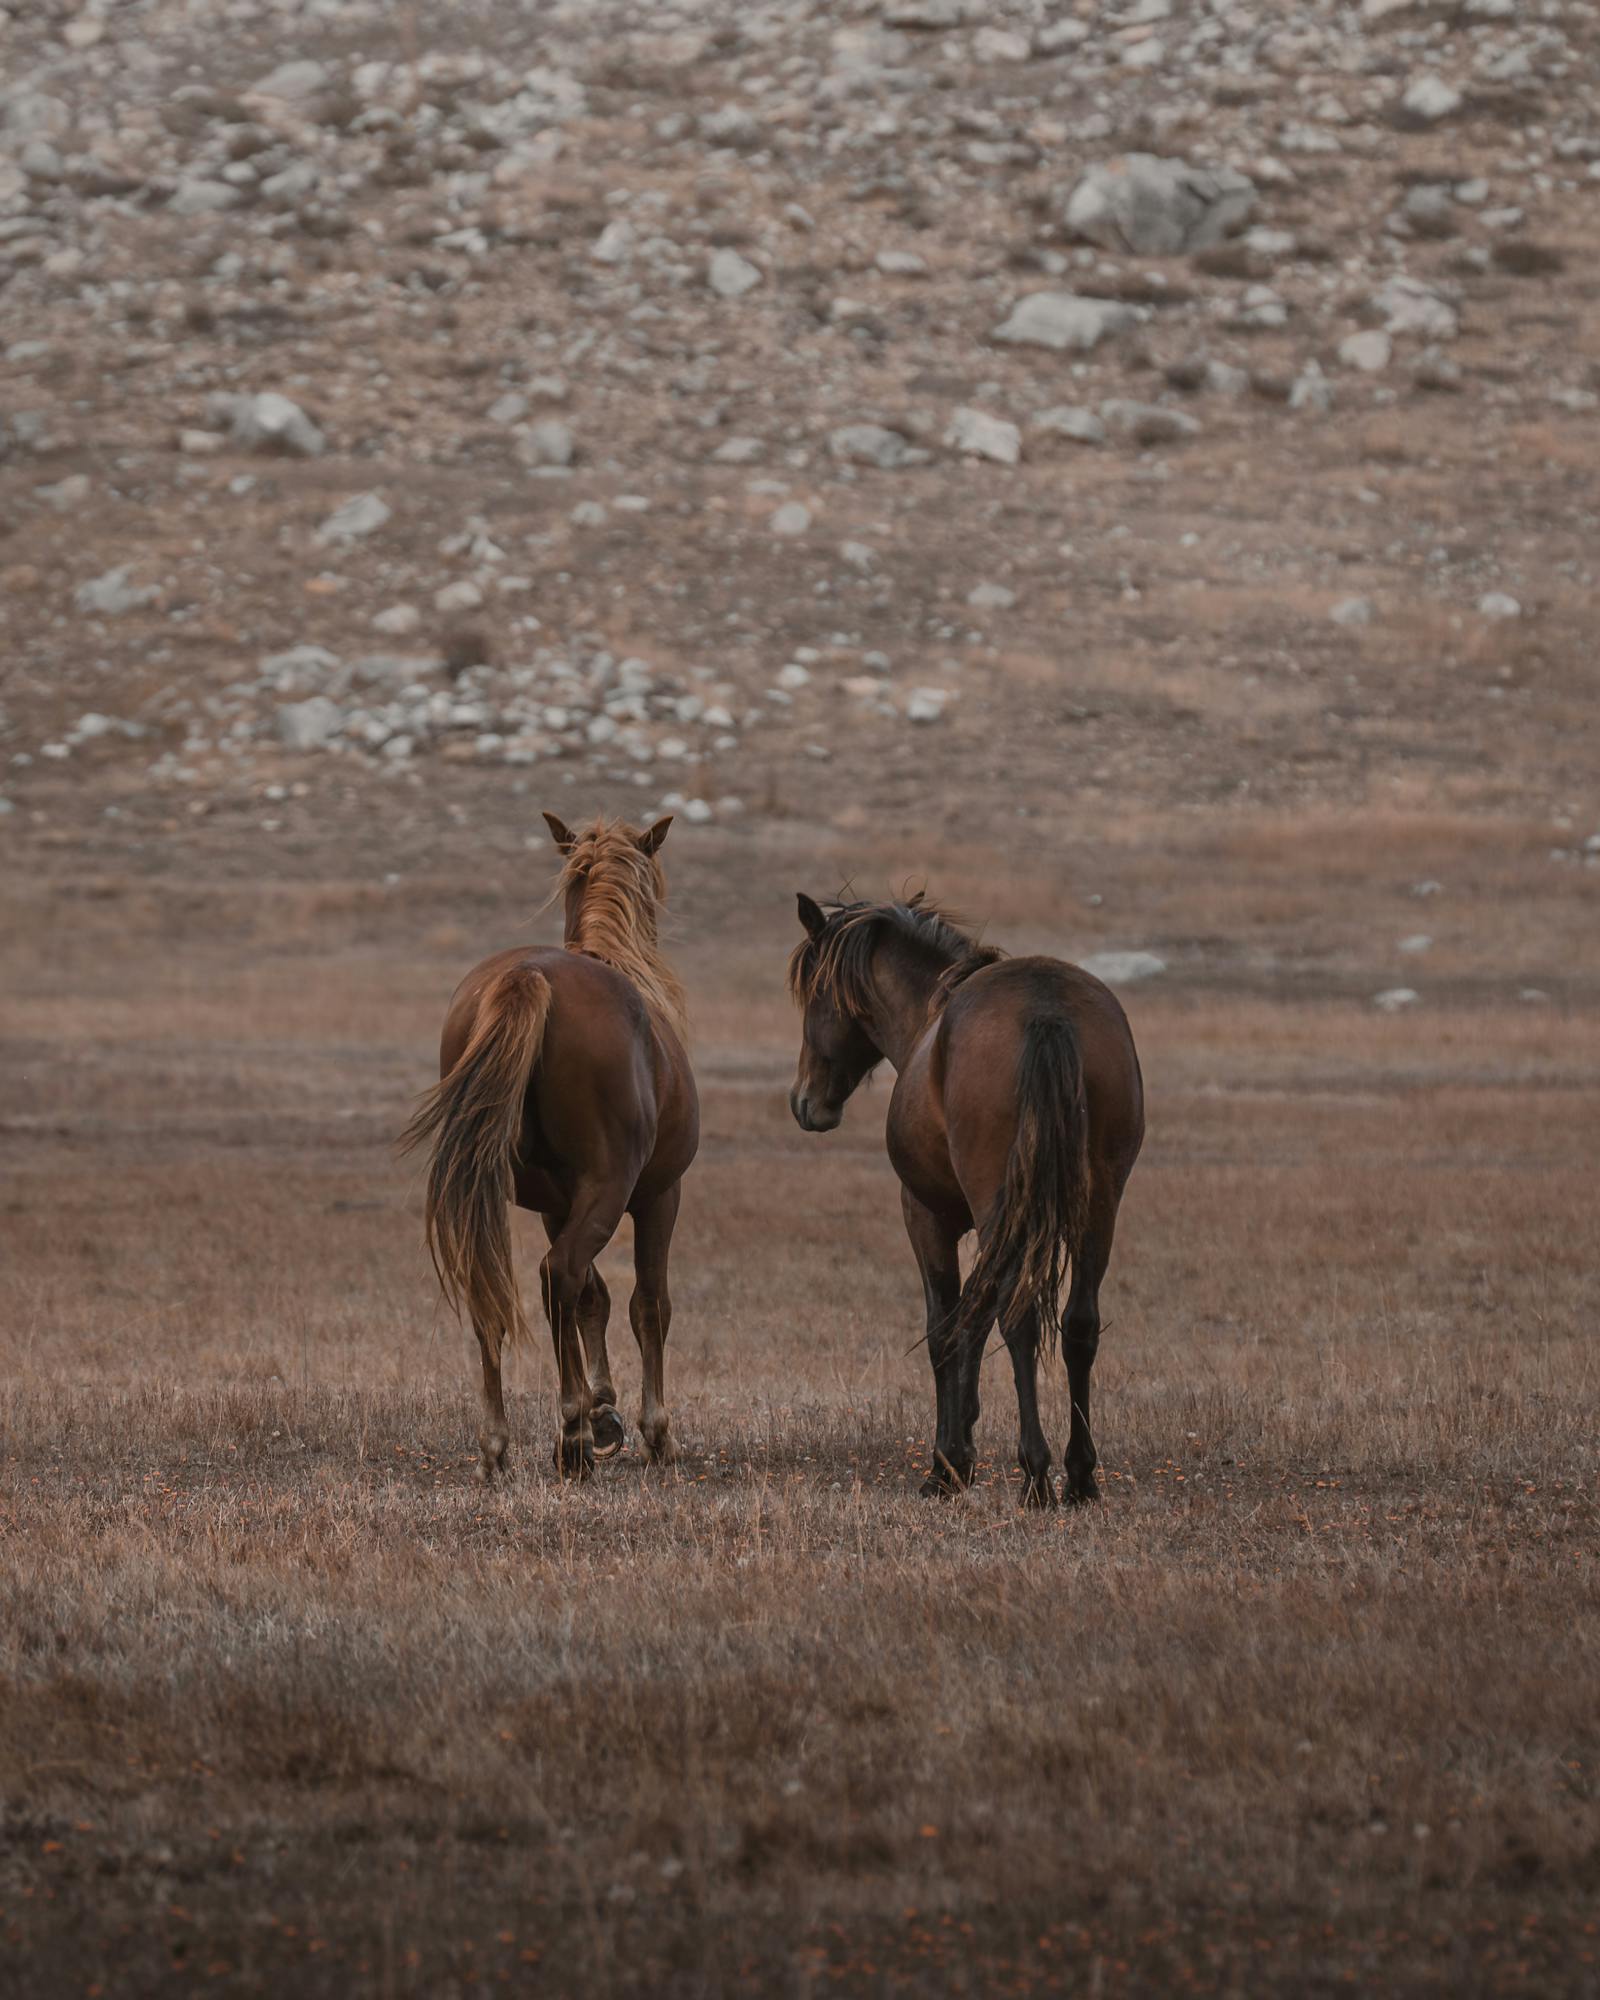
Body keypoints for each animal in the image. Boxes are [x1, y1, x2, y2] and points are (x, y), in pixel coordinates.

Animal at [400, 812, 692, 1488]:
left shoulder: (559, 1204)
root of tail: (526, 977)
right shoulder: (659, 1196)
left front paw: (604, 1408)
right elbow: (647, 1304)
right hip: (614, 1188)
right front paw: (649, 1430)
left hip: (495, 1194)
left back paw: (498, 1444)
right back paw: (572, 1438)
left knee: (496, 1289)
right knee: (558, 1274)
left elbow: (594, 1298)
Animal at [792, 900, 1144, 1504]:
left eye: (815, 994)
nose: (805, 1102)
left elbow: (946, 1329)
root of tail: (1047, 1011)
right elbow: (973, 1322)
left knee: (1018, 1320)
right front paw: (964, 1447)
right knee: (1079, 1324)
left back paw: (1035, 1474)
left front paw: (947, 1464)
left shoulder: (926, 1216)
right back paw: (1079, 1477)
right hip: (1098, 1209)